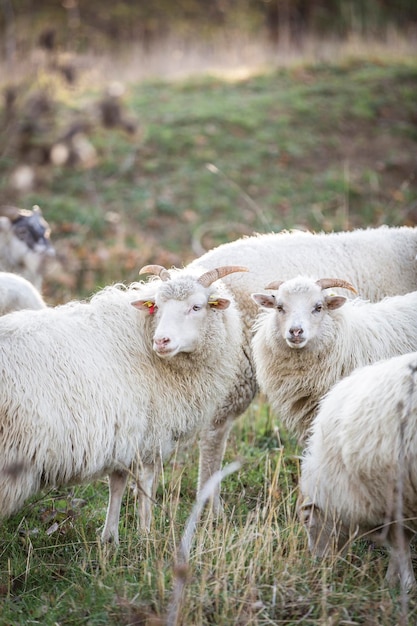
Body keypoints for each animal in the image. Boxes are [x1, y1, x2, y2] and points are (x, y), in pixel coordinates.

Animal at [0, 260, 244, 540]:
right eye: (158, 306)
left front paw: (110, 537)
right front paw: (146, 532)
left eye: (196, 307)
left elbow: (117, 484)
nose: (162, 341)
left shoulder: (126, 435)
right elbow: (144, 484)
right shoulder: (149, 435)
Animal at [300, 354, 417, 588]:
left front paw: (402, 583)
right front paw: (394, 581)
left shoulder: (390, 498)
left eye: (307, 521)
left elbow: (399, 545)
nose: (318, 562)